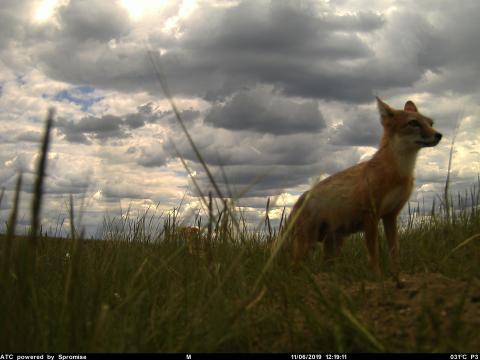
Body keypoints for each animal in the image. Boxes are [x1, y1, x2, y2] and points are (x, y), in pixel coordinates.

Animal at [284, 97, 442, 272]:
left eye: (430, 122)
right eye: (413, 123)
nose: (439, 135)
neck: (399, 174)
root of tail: (299, 201)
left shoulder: (390, 215)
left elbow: (395, 252)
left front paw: (397, 274)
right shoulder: (371, 216)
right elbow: (374, 255)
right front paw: (376, 275)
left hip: (332, 246)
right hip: (308, 245)